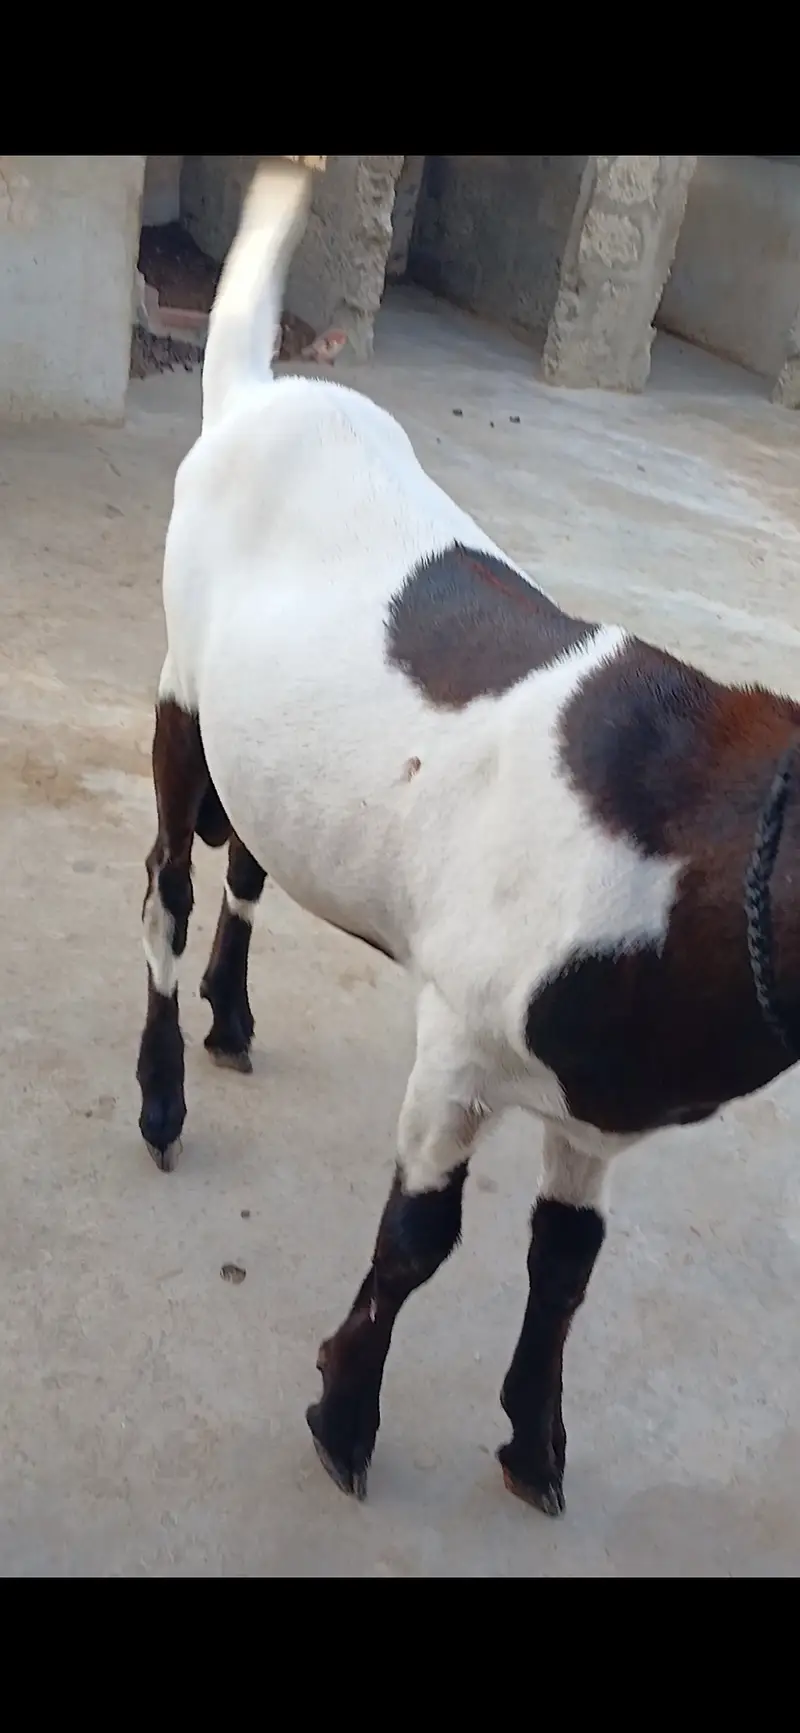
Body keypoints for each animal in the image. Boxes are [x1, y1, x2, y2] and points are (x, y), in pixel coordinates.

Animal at [136, 157, 800, 1517]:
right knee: (169, 883)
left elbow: (567, 1259)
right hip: (181, 693)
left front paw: (533, 1445)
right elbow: (421, 1237)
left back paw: (232, 1018)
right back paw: (163, 1096)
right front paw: (342, 1416)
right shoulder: (459, 1040)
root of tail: (257, 392)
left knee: (249, 861)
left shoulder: (601, 1113)